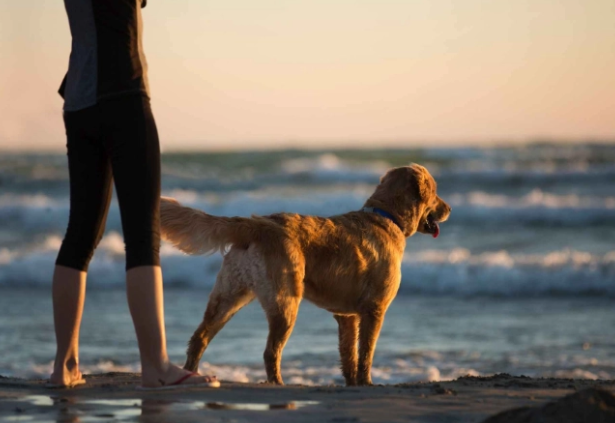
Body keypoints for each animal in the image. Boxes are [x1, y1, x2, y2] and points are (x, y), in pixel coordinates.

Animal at [161, 165, 450, 388]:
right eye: (436, 192)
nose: (448, 208)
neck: (386, 217)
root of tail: (257, 223)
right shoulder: (375, 310)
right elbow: (366, 353)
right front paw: (367, 383)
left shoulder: (347, 316)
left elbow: (349, 354)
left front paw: (352, 384)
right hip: (285, 302)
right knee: (270, 352)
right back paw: (277, 384)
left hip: (228, 297)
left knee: (199, 338)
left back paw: (191, 374)